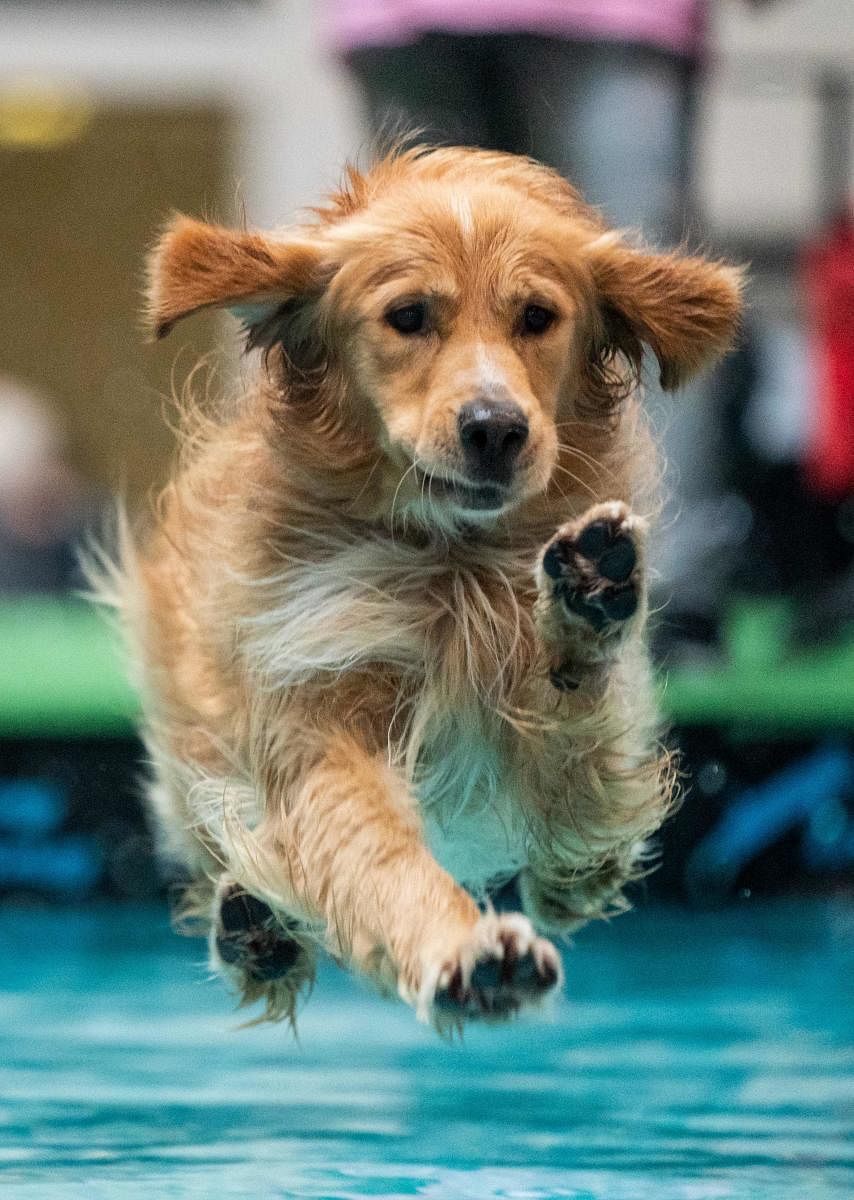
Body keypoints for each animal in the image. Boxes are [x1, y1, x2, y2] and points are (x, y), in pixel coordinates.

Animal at [98, 145, 738, 1032]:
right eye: (407, 316)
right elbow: (374, 854)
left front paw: (583, 606)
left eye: (537, 316)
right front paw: (467, 953)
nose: (495, 428)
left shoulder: (581, 790)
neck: (450, 569)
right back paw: (255, 932)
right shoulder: (317, 704)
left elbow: (575, 754)